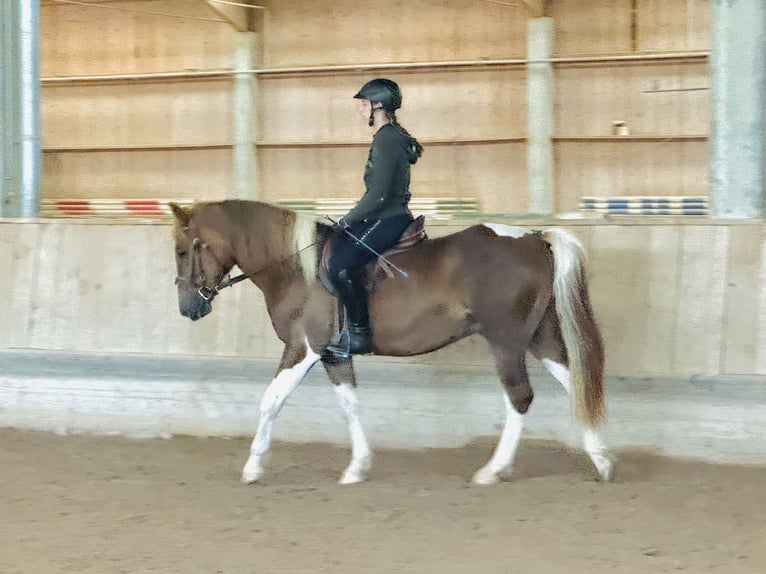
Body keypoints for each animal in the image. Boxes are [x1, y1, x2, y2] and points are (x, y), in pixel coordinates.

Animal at [169, 199, 613, 485]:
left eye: (182, 250)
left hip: (505, 341)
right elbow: (350, 405)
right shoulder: (333, 355)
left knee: (520, 397)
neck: (295, 267)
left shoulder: (304, 348)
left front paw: (253, 468)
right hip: (539, 337)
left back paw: (494, 470)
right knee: (576, 384)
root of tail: (534, 238)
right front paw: (357, 468)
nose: (189, 308)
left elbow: (270, 401)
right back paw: (603, 461)